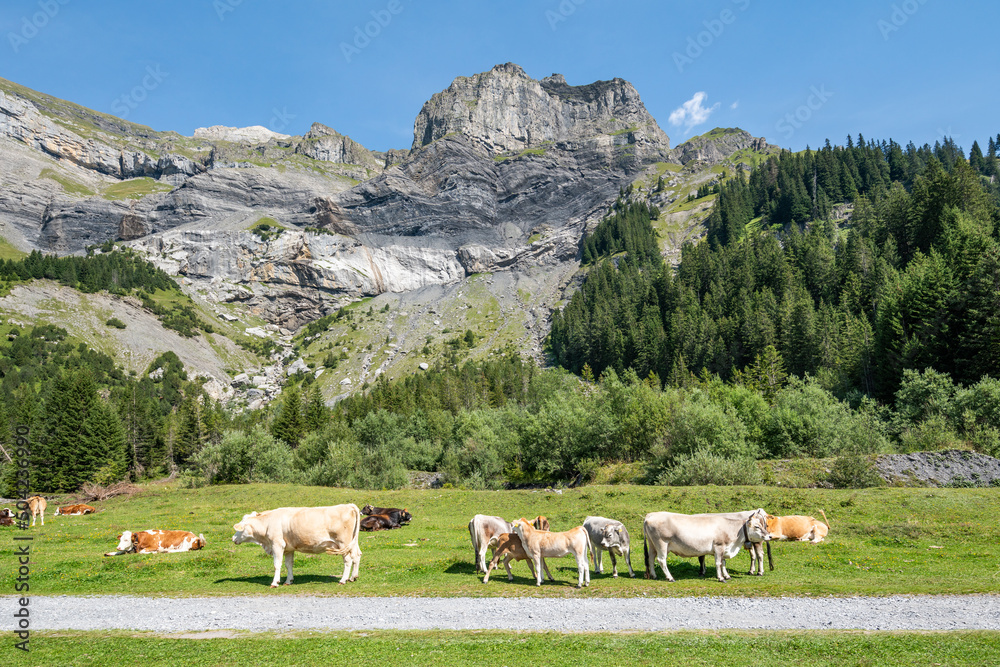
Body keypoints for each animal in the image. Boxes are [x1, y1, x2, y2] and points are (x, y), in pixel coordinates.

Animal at [231, 506, 364, 588]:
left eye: (240, 528)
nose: (233, 538)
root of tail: (349, 505)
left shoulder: (277, 544)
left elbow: (277, 564)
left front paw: (275, 582)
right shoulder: (288, 548)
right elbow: (288, 564)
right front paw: (288, 581)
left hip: (343, 543)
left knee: (348, 560)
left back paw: (343, 580)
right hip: (352, 543)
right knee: (356, 556)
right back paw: (353, 577)